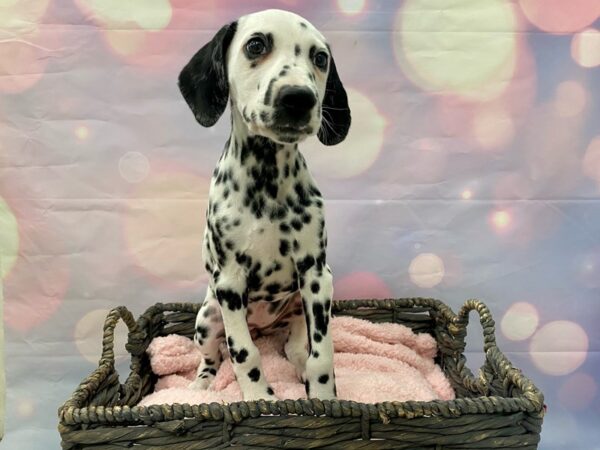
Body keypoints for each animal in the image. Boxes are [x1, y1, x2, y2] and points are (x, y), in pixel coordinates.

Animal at [179, 7, 352, 400]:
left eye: (320, 58)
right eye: (256, 45)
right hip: (207, 318)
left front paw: (323, 398)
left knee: (295, 348)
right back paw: (201, 385)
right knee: (214, 355)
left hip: (298, 309)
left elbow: (323, 355)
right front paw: (259, 399)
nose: (298, 98)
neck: (267, 183)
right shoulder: (229, 283)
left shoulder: (316, 276)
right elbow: (244, 353)